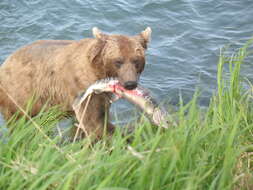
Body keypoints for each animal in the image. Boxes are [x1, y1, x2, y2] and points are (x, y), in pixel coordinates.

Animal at [0, 26, 150, 139]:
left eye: (136, 60)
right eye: (118, 61)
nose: (130, 83)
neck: (99, 73)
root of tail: (5, 63)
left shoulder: (102, 96)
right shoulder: (82, 88)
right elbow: (94, 121)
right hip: (20, 93)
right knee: (20, 123)